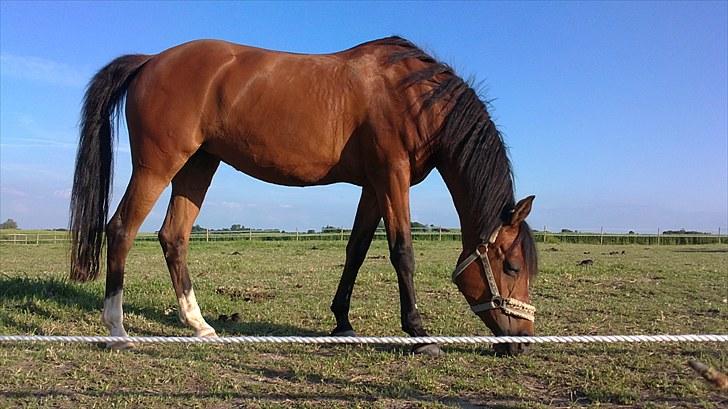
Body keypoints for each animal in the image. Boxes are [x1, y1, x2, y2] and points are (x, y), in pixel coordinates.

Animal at [71, 36, 536, 354]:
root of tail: (150, 61)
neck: (414, 97)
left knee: (174, 237)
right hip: (158, 164)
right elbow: (402, 252)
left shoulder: (373, 186)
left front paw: (343, 322)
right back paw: (117, 330)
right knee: (122, 229)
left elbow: (356, 250)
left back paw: (199, 324)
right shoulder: (392, 176)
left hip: (198, 165)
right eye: (512, 266)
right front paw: (419, 334)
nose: (522, 340)